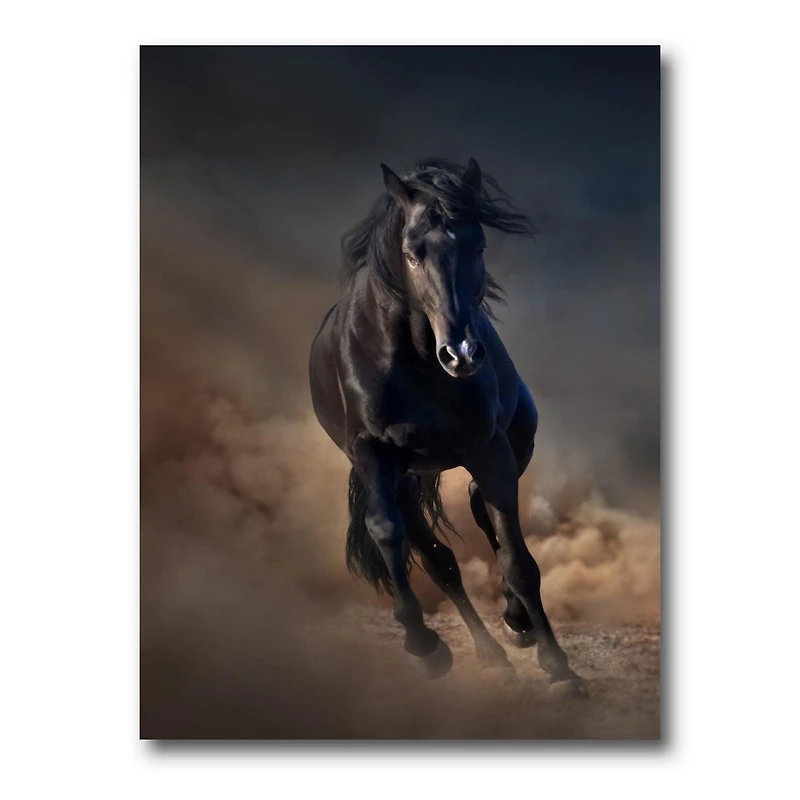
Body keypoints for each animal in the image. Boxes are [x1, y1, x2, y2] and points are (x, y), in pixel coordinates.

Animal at [309, 157, 586, 695]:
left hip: (506, 449)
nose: (461, 354)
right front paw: (422, 646)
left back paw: (516, 627)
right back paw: (488, 655)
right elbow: (387, 533)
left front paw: (559, 667)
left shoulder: (490, 449)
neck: (415, 360)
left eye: (476, 245)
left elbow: (518, 561)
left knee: (482, 512)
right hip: (405, 479)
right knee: (439, 559)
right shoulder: (373, 454)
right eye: (411, 254)